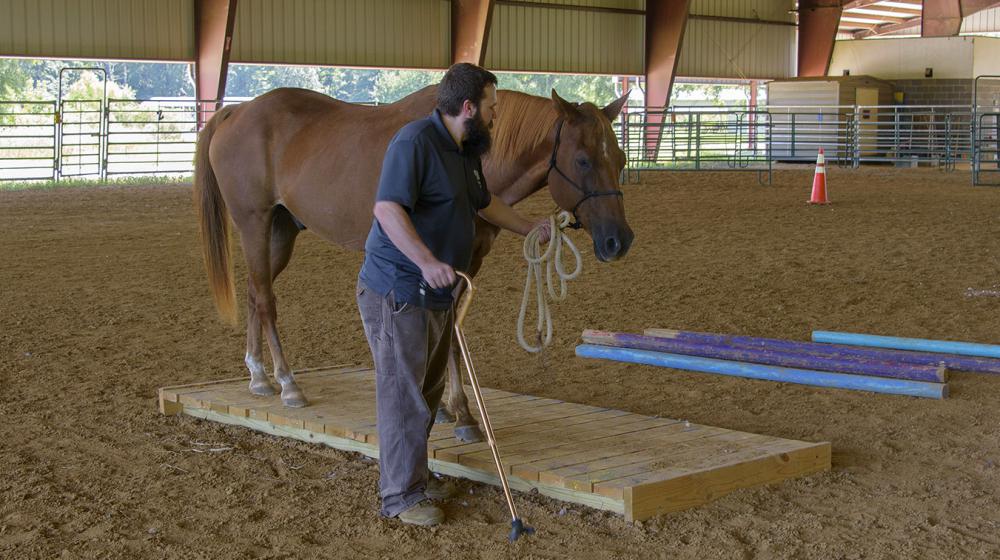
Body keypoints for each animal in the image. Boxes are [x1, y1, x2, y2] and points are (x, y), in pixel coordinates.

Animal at [193, 86, 632, 442]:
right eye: (582, 161)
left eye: (622, 158)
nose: (619, 240)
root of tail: (239, 111)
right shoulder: (447, 261)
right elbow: (449, 332)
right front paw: (463, 413)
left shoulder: (471, 260)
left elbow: (448, 330)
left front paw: (447, 407)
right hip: (254, 224)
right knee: (266, 301)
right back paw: (287, 383)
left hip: (281, 232)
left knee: (255, 291)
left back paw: (258, 376)